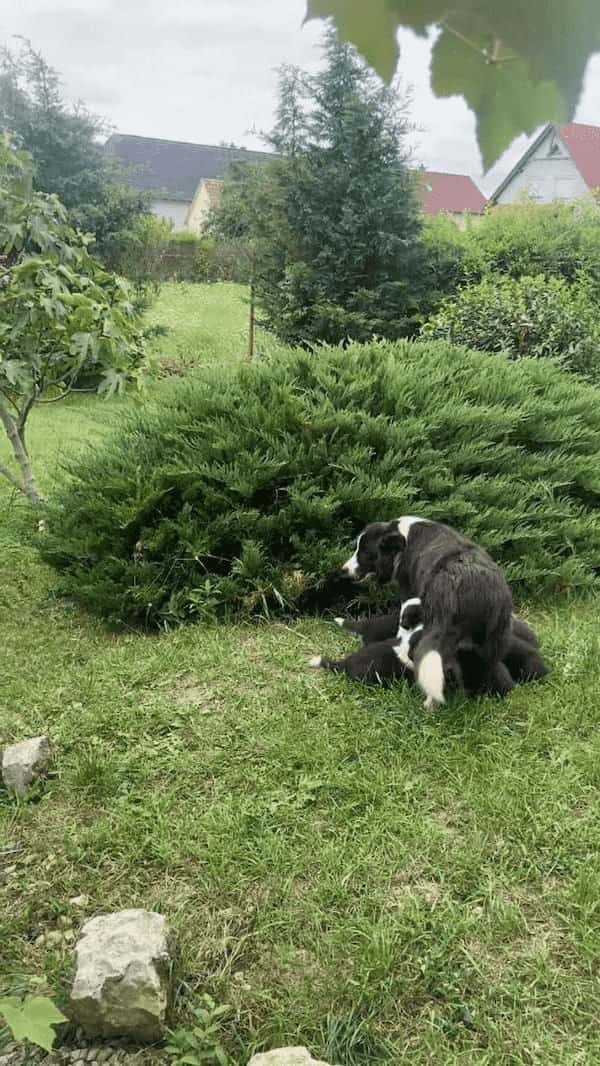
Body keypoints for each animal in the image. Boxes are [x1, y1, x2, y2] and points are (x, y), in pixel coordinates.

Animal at [341, 515, 513, 707]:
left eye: (364, 552)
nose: (343, 570)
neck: (403, 539)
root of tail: (476, 589)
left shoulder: (409, 596)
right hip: (495, 640)